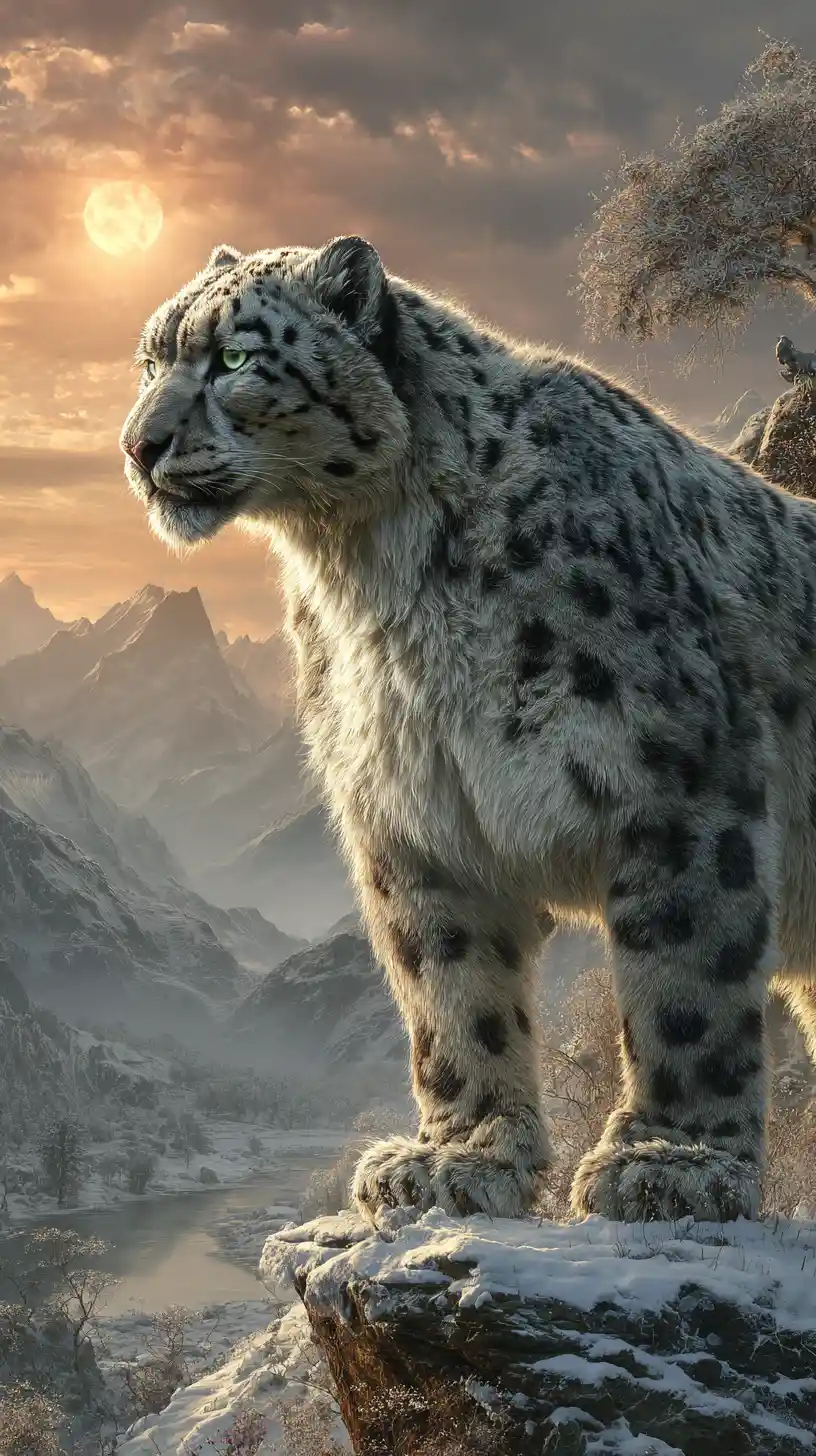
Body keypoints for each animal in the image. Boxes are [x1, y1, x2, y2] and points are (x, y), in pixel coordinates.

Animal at [120, 234, 816, 1225]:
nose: (138, 445)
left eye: (237, 359)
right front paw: (458, 1159)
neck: (374, 572)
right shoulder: (415, 815)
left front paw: (670, 1163)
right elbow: (454, 992)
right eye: (149, 361)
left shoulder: (681, 780)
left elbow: (686, 980)